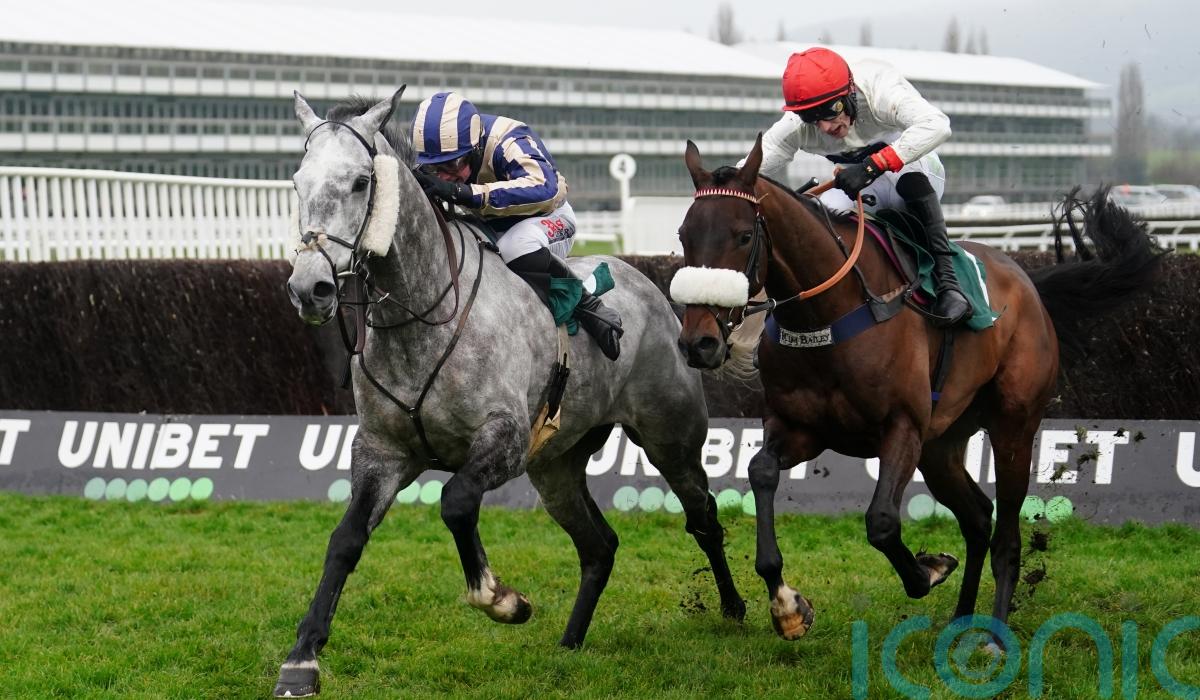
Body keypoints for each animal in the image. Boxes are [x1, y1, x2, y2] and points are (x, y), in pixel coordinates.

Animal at [272, 89, 745, 697]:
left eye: (359, 182)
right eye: (297, 181)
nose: (310, 288)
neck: (423, 318)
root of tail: (650, 287)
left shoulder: (505, 438)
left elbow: (455, 502)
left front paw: (502, 599)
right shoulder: (381, 450)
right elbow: (345, 540)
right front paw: (302, 659)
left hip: (671, 439)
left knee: (703, 517)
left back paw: (742, 608)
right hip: (556, 466)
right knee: (599, 546)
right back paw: (571, 641)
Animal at [672, 135, 1164, 645]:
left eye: (742, 236)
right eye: (685, 235)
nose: (698, 342)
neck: (827, 316)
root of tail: (1028, 283)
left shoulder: (901, 428)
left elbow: (882, 523)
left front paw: (928, 570)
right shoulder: (800, 427)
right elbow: (762, 471)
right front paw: (787, 606)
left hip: (1013, 425)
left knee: (1005, 533)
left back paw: (993, 637)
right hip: (940, 445)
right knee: (977, 516)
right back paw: (962, 619)